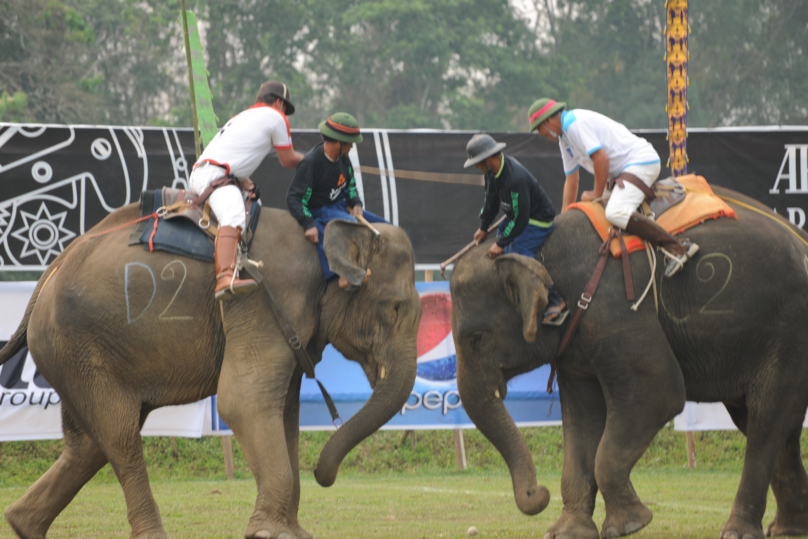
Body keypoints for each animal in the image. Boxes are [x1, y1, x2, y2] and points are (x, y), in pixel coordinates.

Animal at [452, 187, 808, 539]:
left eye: (477, 338)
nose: (538, 493)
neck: (536, 252)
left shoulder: (616, 310)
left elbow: (657, 393)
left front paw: (629, 525)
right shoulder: (578, 340)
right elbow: (583, 417)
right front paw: (566, 532)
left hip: (788, 332)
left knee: (765, 420)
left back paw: (738, 531)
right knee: (773, 426)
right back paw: (787, 529)